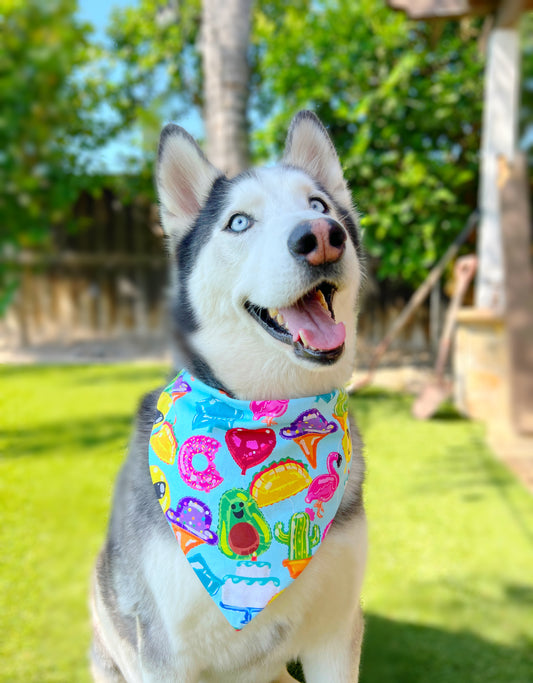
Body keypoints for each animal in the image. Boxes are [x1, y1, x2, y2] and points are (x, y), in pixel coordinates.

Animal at [91, 112, 366, 683]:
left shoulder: (337, 631)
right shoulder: (165, 654)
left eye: (319, 206)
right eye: (239, 222)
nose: (322, 237)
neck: (268, 408)